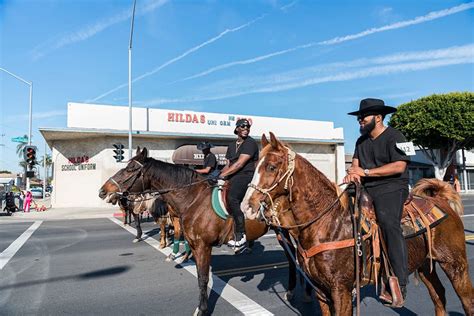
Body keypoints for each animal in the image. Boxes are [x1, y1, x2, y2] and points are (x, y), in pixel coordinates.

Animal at [98, 148, 310, 316]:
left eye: (130, 169)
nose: (103, 191)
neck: (193, 198)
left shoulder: (203, 246)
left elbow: (203, 278)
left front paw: (201, 309)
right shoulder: (193, 243)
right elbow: (197, 269)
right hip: (282, 232)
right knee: (295, 257)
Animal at [243, 133, 472, 316]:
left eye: (271, 167)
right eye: (254, 167)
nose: (247, 206)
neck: (327, 223)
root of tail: (441, 200)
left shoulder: (341, 290)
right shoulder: (321, 291)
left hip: (455, 264)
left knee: (467, 301)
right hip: (425, 265)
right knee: (439, 296)